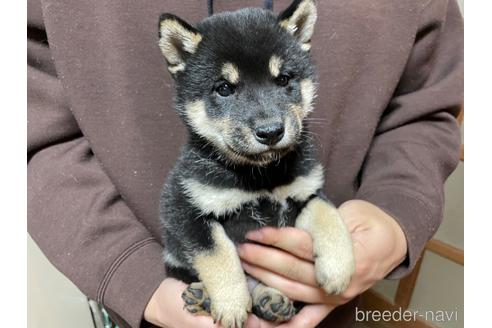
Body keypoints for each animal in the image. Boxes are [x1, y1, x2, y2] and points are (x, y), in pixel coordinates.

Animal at [158, 1, 354, 326]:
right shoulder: (185, 208)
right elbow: (218, 255)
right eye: (224, 88)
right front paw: (231, 304)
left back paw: (271, 300)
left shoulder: (307, 191)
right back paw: (203, 296)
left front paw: (339, 267)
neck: (262, 175)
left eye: (284, 79)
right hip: (174, 256)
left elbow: (328, 214)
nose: (271, 131)